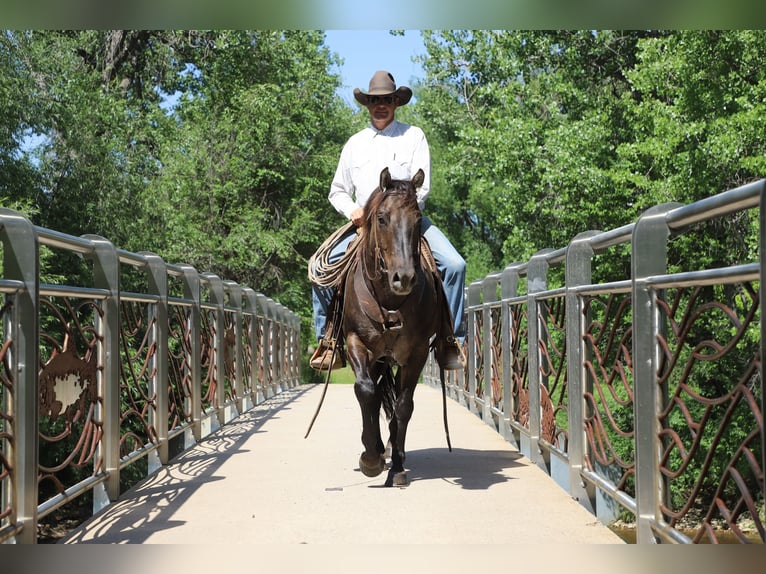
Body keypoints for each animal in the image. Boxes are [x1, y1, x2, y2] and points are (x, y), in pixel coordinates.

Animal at [342, 166, 444, 486]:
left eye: (418, 219)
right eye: (382, 218)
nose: (405, 278)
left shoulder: (417, 353)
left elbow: (403, 406)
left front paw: (396, 467)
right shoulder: (356, 342)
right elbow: (366, 392)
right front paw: (370, 459)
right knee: (374, 395)